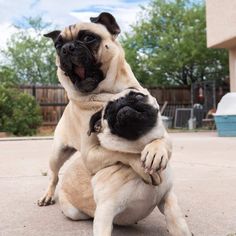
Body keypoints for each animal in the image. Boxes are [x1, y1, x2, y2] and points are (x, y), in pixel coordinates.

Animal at [38, 12, 171, 206]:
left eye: (88, 38)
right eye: (58, 45)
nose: (67, 48)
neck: (106, 92)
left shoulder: (162, 132)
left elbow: (160, 141)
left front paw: (155, 152)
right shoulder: (90, 154)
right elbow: (121, 151)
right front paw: (139, 164)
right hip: (57, 154)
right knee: (54, 176)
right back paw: (47, 194)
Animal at [59, 89, 192, 236]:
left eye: (138, 95)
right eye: (107, 111)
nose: (120, 101)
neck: (138, 146)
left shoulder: (168, 197)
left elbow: (177, 222)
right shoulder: (105, 211)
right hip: (74, 212)